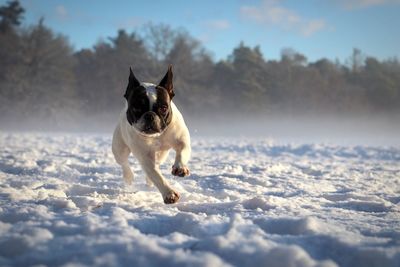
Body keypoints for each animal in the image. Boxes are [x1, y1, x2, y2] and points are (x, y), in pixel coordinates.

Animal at [111, 66, 191, 204]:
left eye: (164, 108)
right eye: (137, 108)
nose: (150, 115)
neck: (156, 136)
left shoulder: (182, 140)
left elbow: (182, 152)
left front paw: (180, 168)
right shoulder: (145, 157)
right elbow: (156, 175)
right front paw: (169, 194)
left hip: (161, 155)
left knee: (157, 164)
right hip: (119, 148)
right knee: (124, 162)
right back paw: (129, 176)